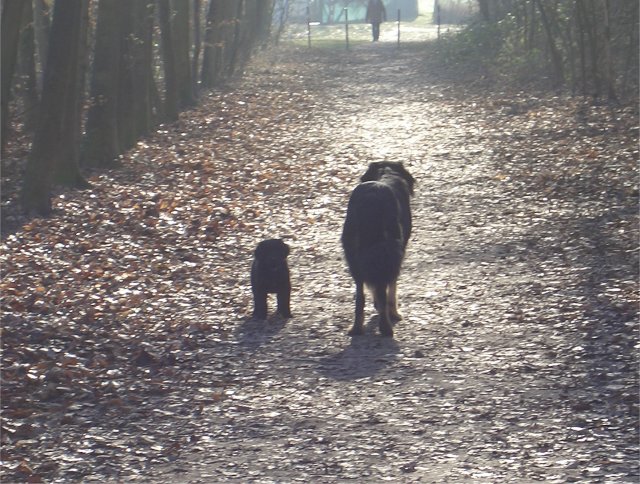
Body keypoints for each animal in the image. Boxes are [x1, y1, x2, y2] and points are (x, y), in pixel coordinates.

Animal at [341, 162, 415, 337]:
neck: (386, 172)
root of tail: (371, 197)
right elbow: (391, 288)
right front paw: (394, 313)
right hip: (390, 251)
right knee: (383, 289)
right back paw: (386, 327)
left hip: (353, 256)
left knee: (360, 295)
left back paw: (356, 328)